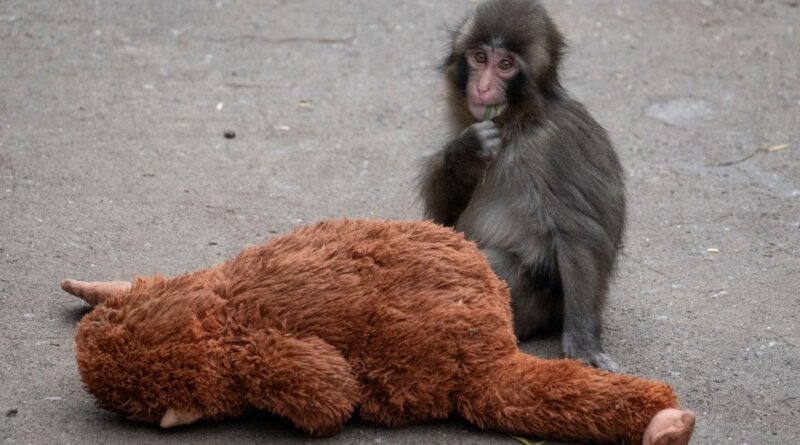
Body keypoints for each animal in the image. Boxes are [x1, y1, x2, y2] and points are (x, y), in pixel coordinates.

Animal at [419, 0, 626, 371]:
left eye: (505, 65)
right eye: (480, 58)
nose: (482, 88)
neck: (518, 123)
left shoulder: (551, 148)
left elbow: (580, 234)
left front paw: (584, 343)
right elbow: (442, 220)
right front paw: (465, 154)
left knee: (488, 262)